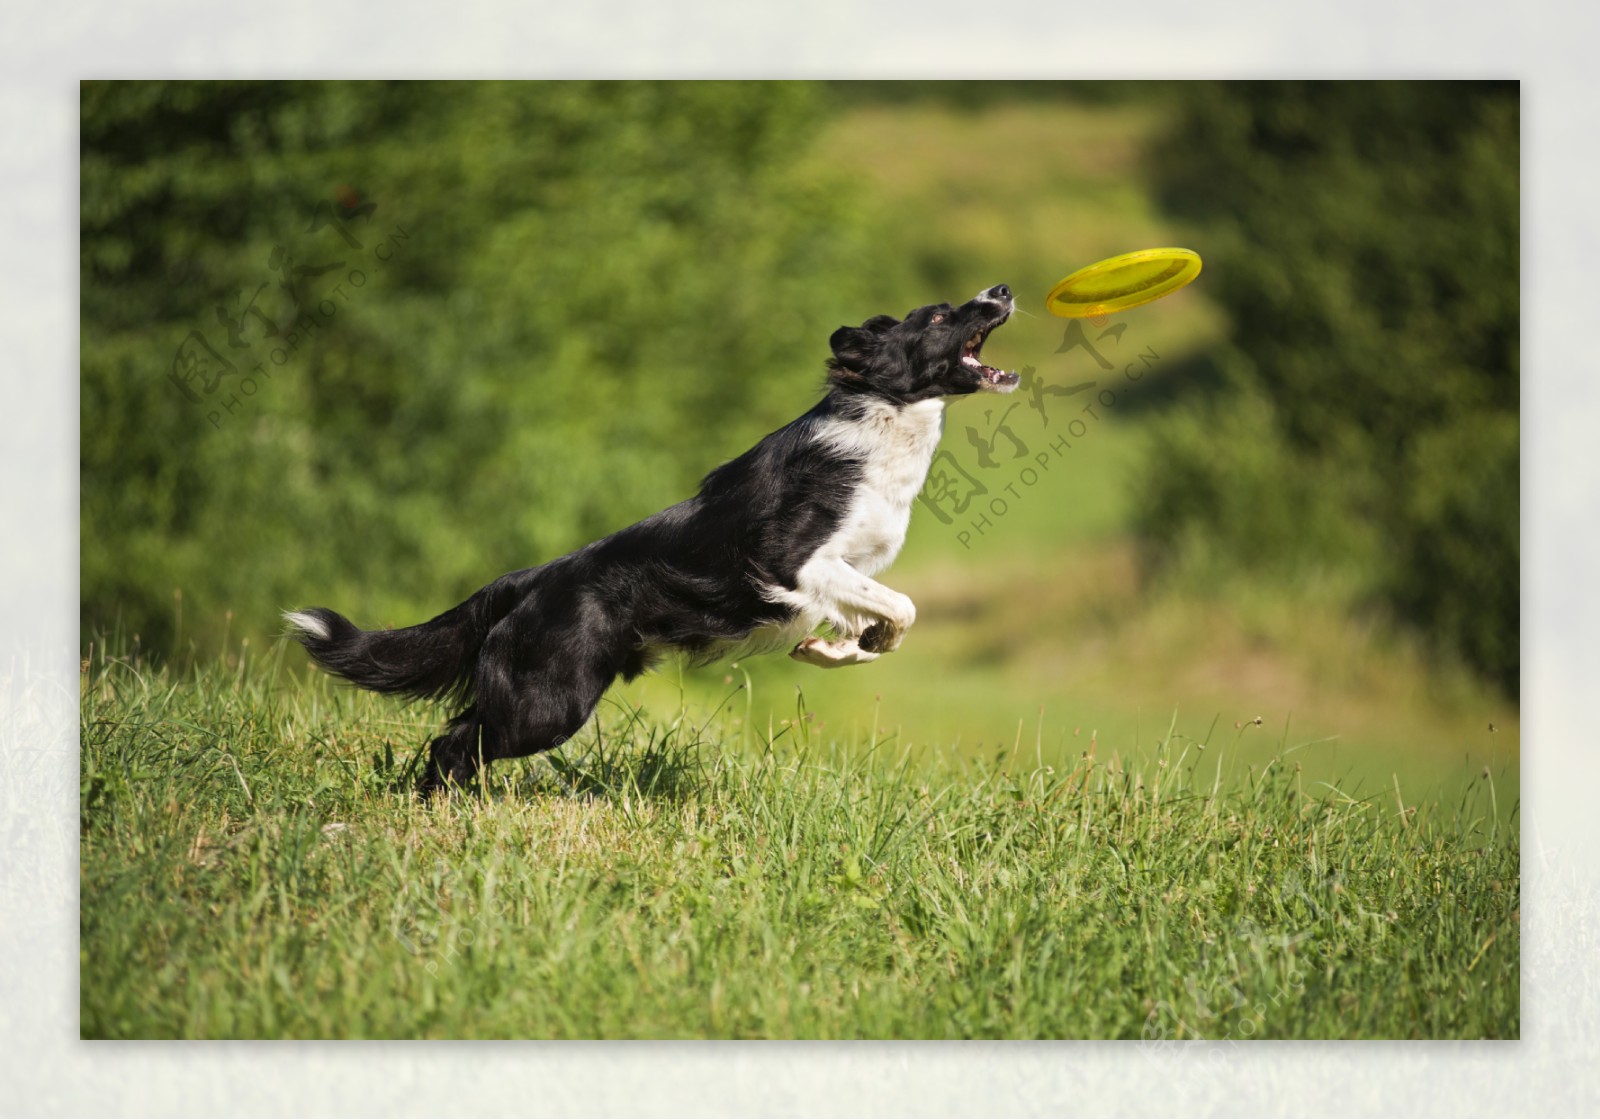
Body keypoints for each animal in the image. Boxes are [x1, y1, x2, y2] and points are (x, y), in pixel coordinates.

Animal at [286, 280, 1017, 790]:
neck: (885, 417)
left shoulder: (850, 569)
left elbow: (879, 620)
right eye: (940, 317)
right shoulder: (793, 561)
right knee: (456, 740)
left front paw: (835, 649)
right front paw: (849, 642)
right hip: (548, 701)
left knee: (461, 736)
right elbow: (904, 605)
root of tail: (528, 579)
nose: (1003, 290)